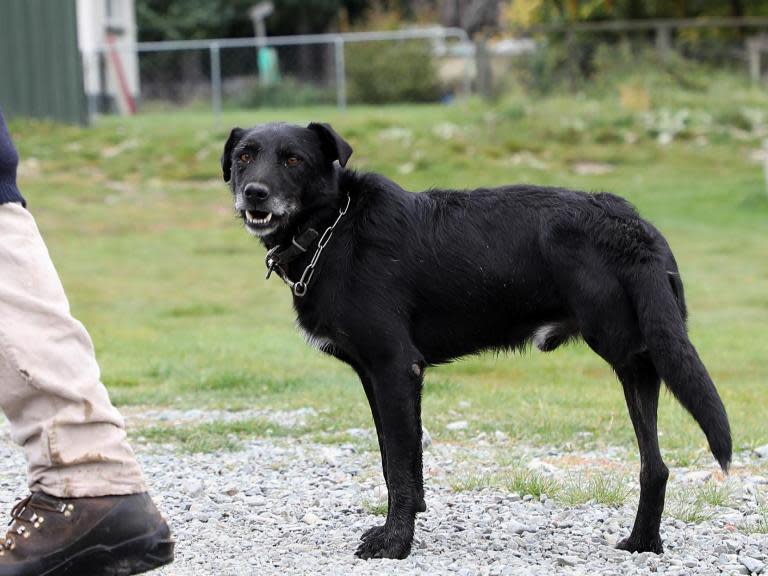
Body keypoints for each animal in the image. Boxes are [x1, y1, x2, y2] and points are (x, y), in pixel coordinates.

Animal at [220, 121, 732, 560]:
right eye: (245, 156)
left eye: (293, 159)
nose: (254, 193)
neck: (332, 228)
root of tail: (630, 225)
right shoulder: (377, 377)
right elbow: (397, 462)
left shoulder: (394, 368)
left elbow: (399, 465)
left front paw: (395, 543)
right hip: (641, 360)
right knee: (656, 466)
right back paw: (643, 543)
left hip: (629, 350)